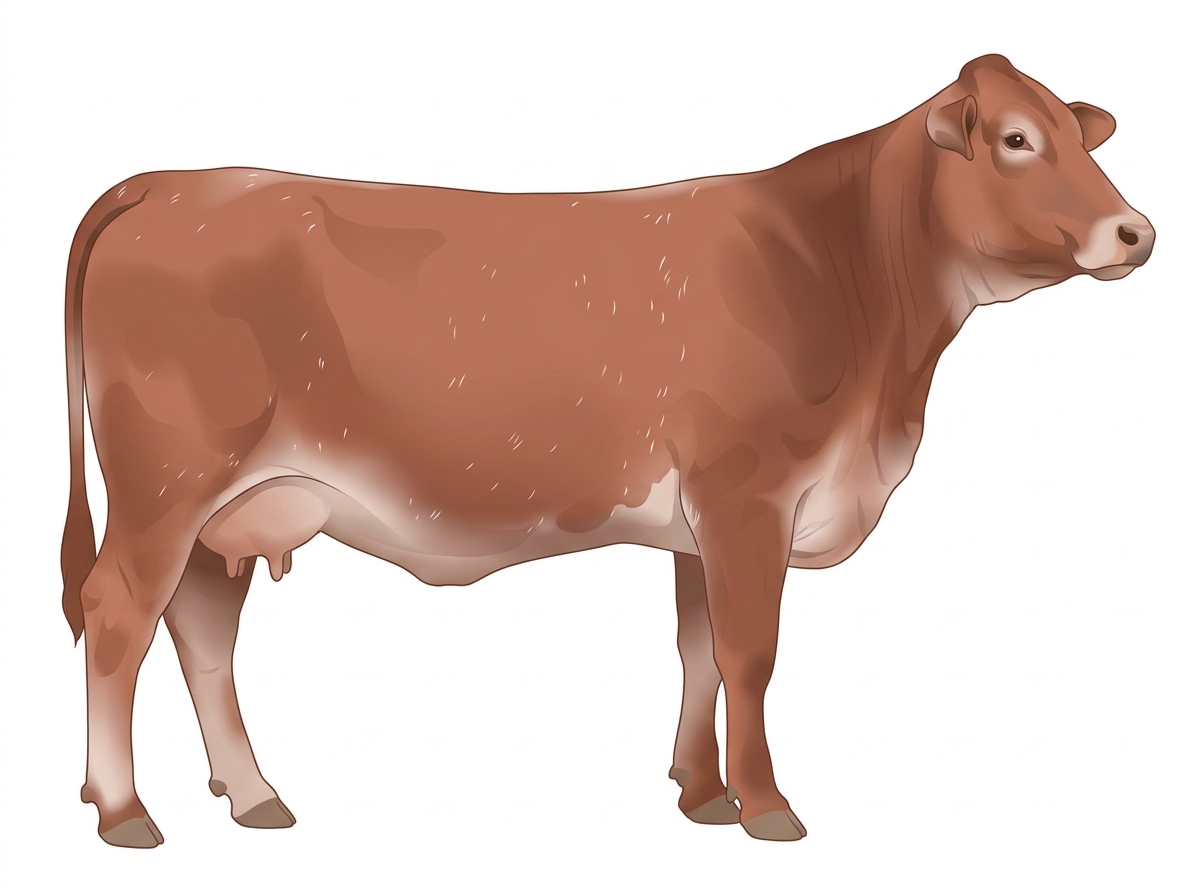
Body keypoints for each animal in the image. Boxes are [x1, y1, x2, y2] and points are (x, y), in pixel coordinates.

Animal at [61, 54, 1153, 848]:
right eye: (1015, 140)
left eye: (1077, 132)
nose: (1135, 231)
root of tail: (166, 183)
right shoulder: (749, 495)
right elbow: (752, 653)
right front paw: (767, 806)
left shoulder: (702, 523)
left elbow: (699, 648)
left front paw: (703, 792)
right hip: (167, 483)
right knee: (119, 615)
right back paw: (124, 810)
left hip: (230, 506)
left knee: (202, 629)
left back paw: (251, 793)